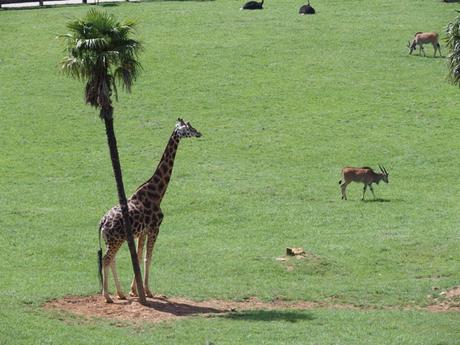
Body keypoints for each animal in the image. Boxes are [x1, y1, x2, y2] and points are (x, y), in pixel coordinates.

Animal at [98, 118, 200, 300]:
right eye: (188, 128)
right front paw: (148, 291)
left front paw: (134, 291)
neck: (157, 193)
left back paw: (120, 294)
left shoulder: (142, 232)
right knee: (106, 259)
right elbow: (148, 257)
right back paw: (107, 296)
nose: (199, 133)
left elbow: (138, 257)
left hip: (112, 240)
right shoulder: (155, 228)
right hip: (116, 240)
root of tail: (102, 222)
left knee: (111, 260)